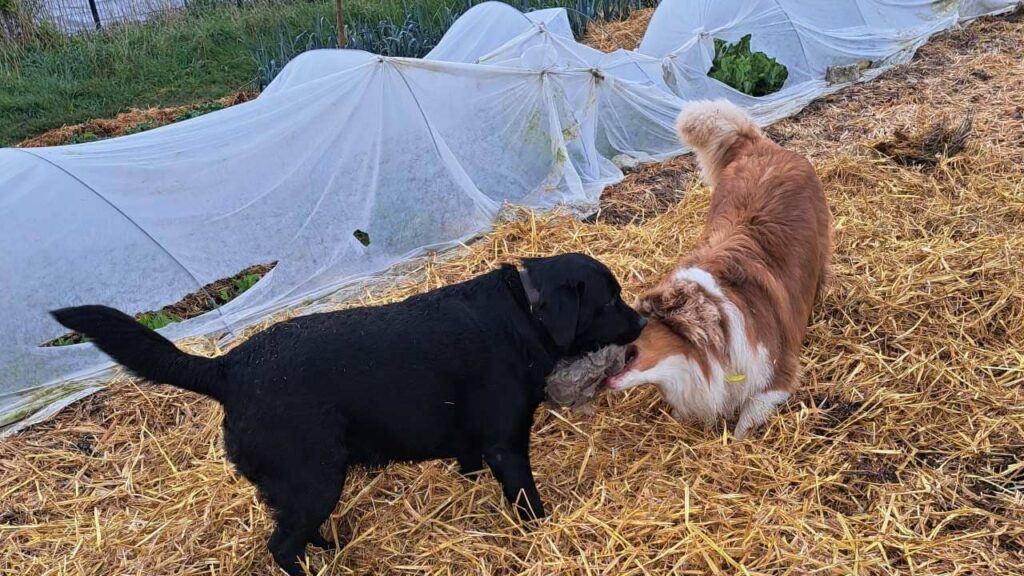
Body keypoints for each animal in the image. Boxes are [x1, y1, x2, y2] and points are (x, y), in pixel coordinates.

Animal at [51, 253, 643, 569]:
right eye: (609, 301)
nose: (641, 323)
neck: (524, 312)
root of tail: (229, 368)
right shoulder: (506, 443)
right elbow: (527, 501)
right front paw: (543, 531)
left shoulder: (475, 442)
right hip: (315, 478)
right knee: (280, 545)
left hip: (304, 485)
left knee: (295, 530)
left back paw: (332, 548)